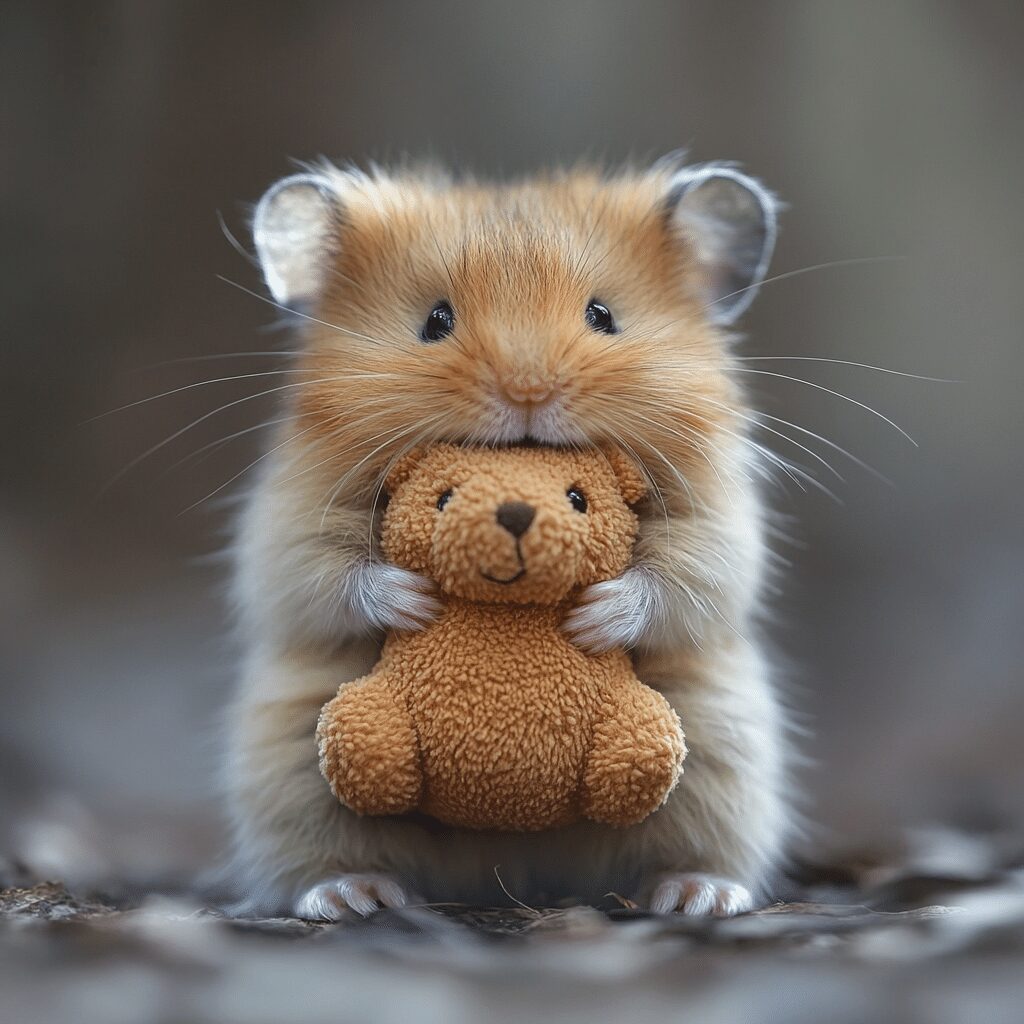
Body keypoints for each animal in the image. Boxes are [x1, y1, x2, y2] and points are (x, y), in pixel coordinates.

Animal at [225, 158, 791, 919]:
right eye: (435, 321)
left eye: (603, 316)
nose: (528, 392)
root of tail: (511, 868)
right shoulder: (290, 519)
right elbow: (322, 571)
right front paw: (416, 602)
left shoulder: (719, 522)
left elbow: (686, 573)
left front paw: (592, 620)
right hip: (290, 758)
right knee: (322, 856)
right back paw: (352, 896)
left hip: (723, 751)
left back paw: (696, 895)